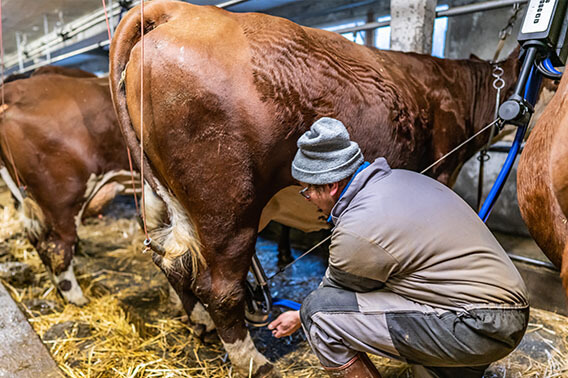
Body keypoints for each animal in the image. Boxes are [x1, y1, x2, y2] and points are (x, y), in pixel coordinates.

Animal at [110, 2, 524, 376]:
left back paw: (200, 324)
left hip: (159, 195)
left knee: (173, 263)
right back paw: (254, 362)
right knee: (219, 287)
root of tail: (177, 10)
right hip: (227, 205)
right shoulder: (444, 166)